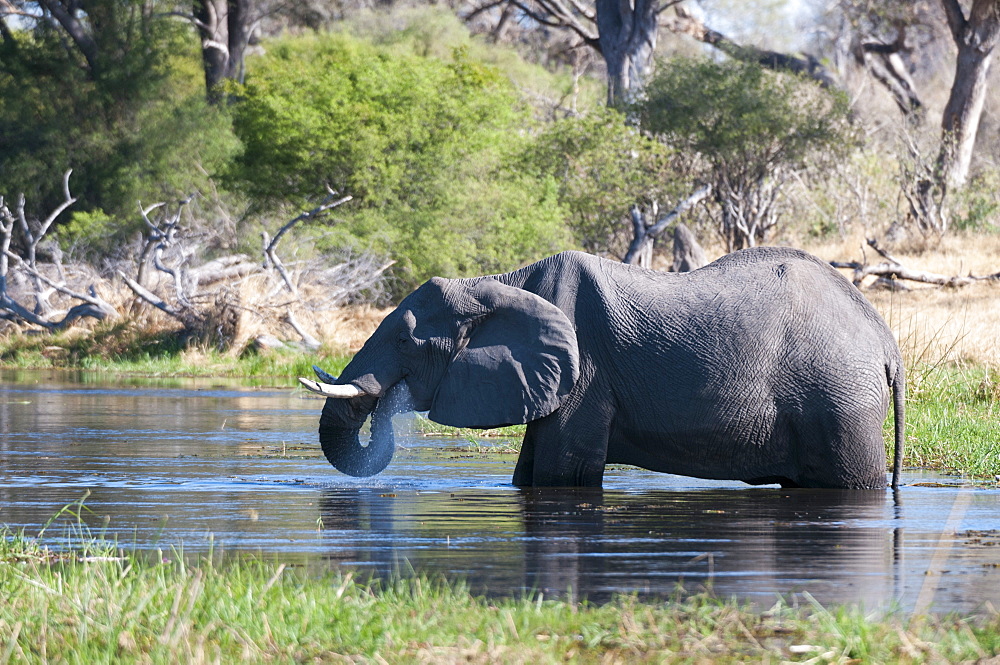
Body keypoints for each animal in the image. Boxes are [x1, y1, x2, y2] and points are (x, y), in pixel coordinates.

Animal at [298, 246, 908, 490]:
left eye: (405, 339)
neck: (501, 283)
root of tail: (886, 342)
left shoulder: (587, 374)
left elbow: (561, 477)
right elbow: (528, 476)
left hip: (839, 400)